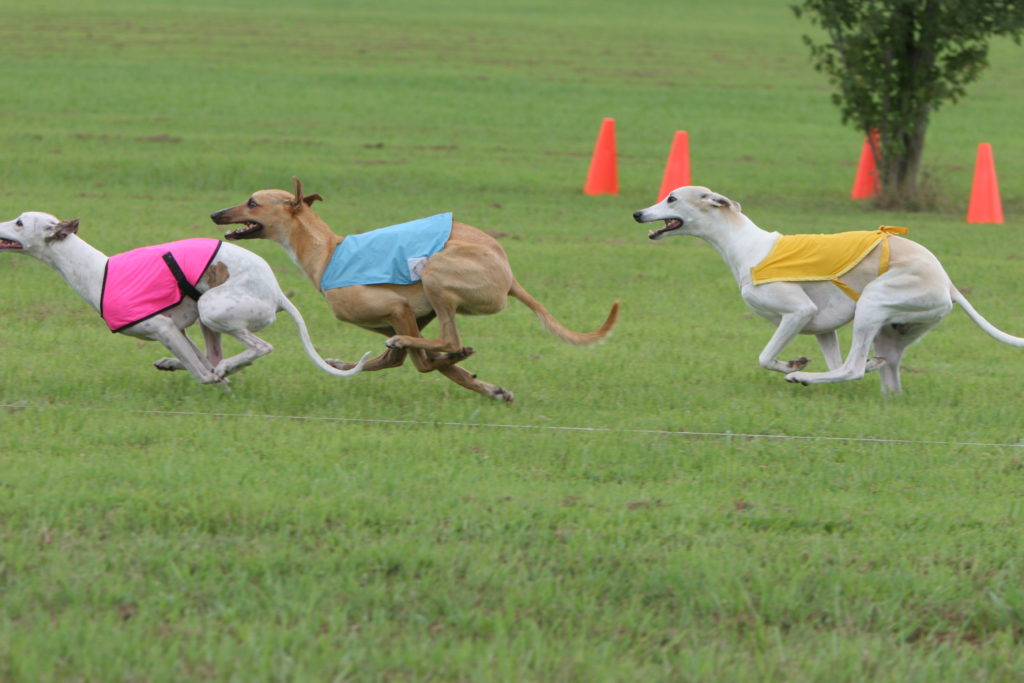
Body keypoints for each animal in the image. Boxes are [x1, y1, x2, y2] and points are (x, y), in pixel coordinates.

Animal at [0, 210, 368, 387]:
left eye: (19, 222)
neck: (97, 271)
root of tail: (277, 292)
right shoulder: (175, 329)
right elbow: (199, 360)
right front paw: (192, 368)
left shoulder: (162, 328)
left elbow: (204, 374)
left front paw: (218, 381)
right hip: (207, 317)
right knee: (214, 354)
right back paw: (186, 363)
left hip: (213, 307)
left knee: (258, 348)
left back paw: (228, 366)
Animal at [211, 178, 618, 401]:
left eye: (252, 202)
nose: (216, 214)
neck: (326, 253)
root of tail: (509, 274)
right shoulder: (413, 316)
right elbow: (404, 361)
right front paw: (484, 385)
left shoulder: (396, 309)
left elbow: (416, 360)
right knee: (432, 349)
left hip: (437, 273)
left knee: (448, 340)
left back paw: (450, 351)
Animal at [630, 187, 1024, 393]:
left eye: (671, 198)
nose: (637, 213)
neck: (746, 245)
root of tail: (948, 283)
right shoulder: (822, 327)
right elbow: (817, 354)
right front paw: (796, 361)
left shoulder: (798, 312)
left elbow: (765, 357)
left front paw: (794, 365)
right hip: (894, 330)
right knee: (876, 367)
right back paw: (875, 371)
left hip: (874, 303)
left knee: (851, 368)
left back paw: (805, 377)